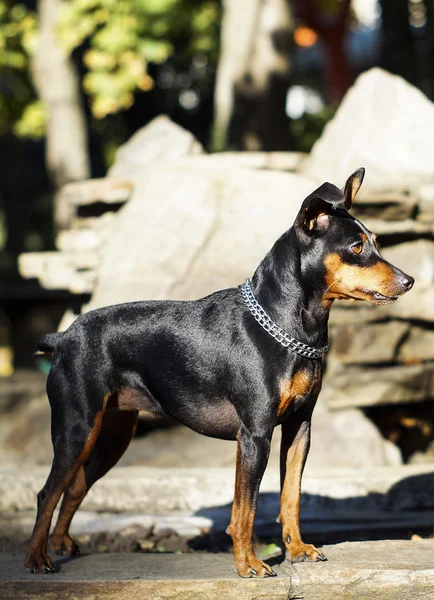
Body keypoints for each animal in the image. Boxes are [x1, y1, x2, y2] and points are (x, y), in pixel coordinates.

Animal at [26, 168, 414, 576]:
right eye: (356, 248)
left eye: (376, 242)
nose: (409, 281)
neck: (286, 324)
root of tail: (63, 336)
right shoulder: (255, 435)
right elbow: (245, 508)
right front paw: (248, 565)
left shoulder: (299, 429)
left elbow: (290, 496)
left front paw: (296, 550)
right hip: (78, 427)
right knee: (47, 492)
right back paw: (38, 558)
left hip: (112, 435)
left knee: (74, 487)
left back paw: (62, 544)